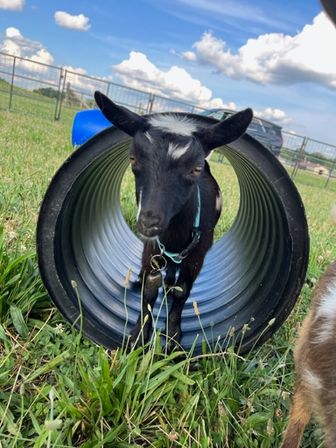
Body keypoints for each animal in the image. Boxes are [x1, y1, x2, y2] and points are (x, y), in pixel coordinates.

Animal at [94, 92, 252, 350]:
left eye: (195, 169)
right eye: (132, 158)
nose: (149, 222)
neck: (174, 236)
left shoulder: (198, 255)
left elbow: (182, 292)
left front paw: (173, 339)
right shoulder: (152, 249)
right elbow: (149, 290)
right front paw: (138, 337)